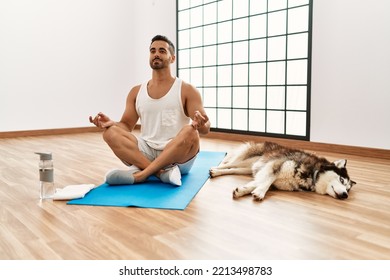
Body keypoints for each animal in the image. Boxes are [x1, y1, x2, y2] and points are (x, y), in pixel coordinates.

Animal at [210, 142, 356, 201]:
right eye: (342, 180)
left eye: (348, 189)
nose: (345, 195)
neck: (312, 173)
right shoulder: (275, 165)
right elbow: (267, 181)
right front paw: (260, 193)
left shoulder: (266, 173)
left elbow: (257, 183)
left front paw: (242, 190)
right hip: (249, 159)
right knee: (229, 163)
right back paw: (215, 169)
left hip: (247, 168)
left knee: (233, 169)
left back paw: (217, 172)